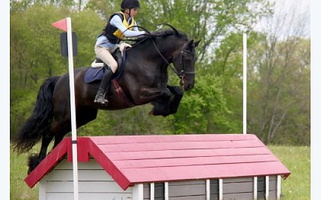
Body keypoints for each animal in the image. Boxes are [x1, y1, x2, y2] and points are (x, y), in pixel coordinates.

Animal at [13, 25, 199, 173]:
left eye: (195, 59)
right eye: (186, 57)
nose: (189, 84)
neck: (148, 60)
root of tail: (59, 79)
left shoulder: (158, 87)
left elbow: (175, 91)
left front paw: (166, 107)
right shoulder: (139, 95)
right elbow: (166, 93)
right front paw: (161, 109)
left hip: (82, 115)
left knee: (58, 135)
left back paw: (50, 159)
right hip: (64, 115)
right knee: (47, 133)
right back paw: (38, 163)